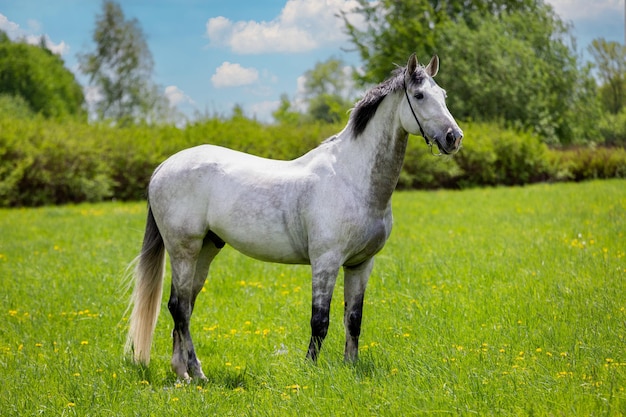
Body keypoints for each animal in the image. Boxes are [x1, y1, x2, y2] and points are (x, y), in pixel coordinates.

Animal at [124, 53, 460, 378]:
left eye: (443, 94)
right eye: (419, 95)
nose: (453, 137)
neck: (351, 177)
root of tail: (164, 166)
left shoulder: (361, 264)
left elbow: (353, 319)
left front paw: (350, 367)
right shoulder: (325, 262)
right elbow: (319, 321)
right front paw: (309, 369)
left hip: (205, 249)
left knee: (185, 307)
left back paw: (182, 372)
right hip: (184, 250)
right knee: (178, 307)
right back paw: (196, 373)